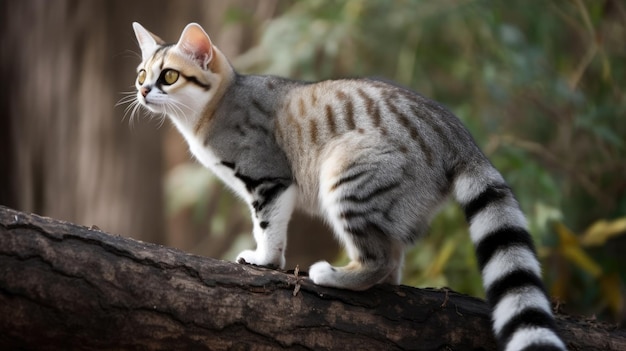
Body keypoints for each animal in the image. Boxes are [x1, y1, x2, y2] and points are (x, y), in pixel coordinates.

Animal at [129, 22, 564, 351]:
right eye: (142, 74)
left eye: (169, 76)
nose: (143, 91)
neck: (215, 105)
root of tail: (454, 132)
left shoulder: (269, 176)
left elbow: (267, 225)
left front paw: (265, 259)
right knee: (392, 261)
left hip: (346, 174)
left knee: (380, 260)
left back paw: (338, 276)